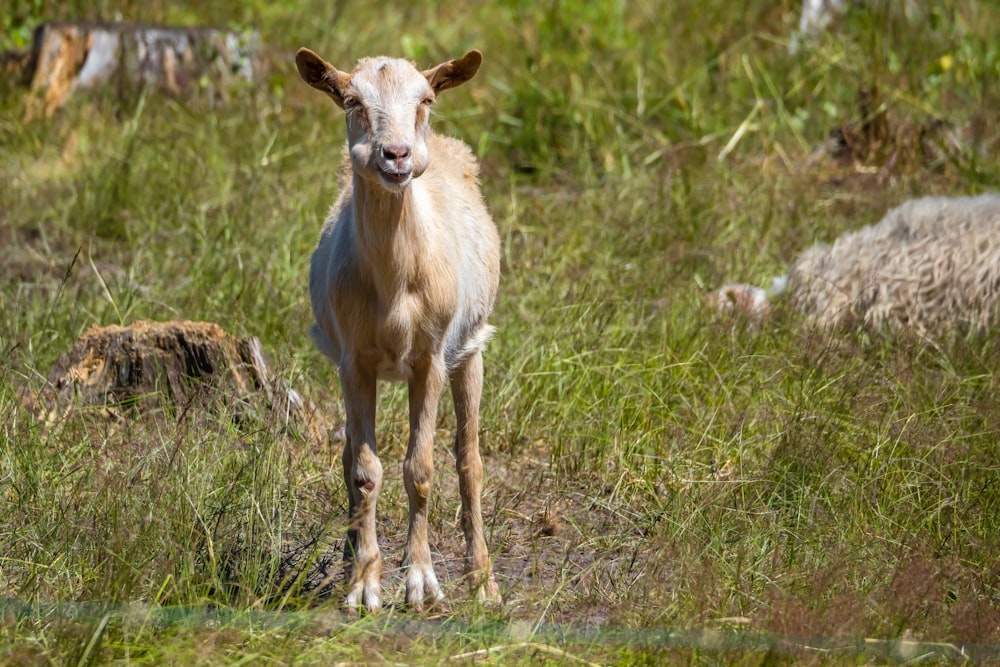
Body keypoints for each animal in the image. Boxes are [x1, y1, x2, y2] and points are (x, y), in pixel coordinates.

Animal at [294, 44, 500, 612]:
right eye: (351, 100)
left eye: (426, 98)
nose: (397, 155)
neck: (393, 286)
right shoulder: (354, 360)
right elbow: (365, 471)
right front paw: (363, 584)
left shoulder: (429, 358)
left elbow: (420, 469)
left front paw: (421, 583)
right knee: (350, 456)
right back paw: (351, 564)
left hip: (470, 348)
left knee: (469, 461)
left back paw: (483, 583)